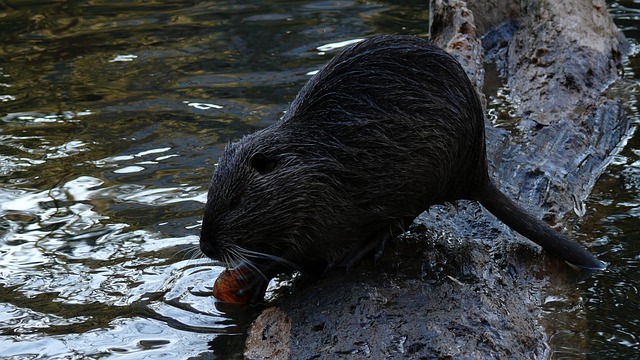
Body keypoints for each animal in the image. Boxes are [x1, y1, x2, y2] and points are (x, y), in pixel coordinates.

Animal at [200, 34, 604, 292]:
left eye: (235, 201)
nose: (206, 247)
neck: (313, 159)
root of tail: (477, 173)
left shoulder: (324, 204)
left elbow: (298, 252)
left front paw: (253, 276)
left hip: (430, 175)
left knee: (402, 218)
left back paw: (358, 253)